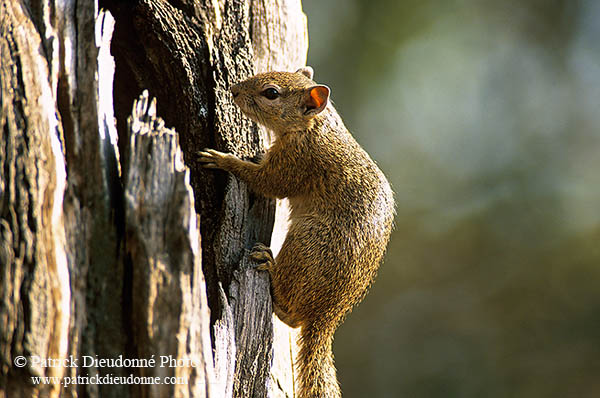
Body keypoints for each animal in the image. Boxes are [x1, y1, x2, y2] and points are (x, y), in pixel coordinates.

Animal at [198, 67, 394, 396]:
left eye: (271, 93)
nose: (234, 90)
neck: (313, 126)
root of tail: (326, 317)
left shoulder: (297, 161)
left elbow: (267, 183)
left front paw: (224, 160)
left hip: (306, 243)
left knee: (289, 313)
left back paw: (269, 264)